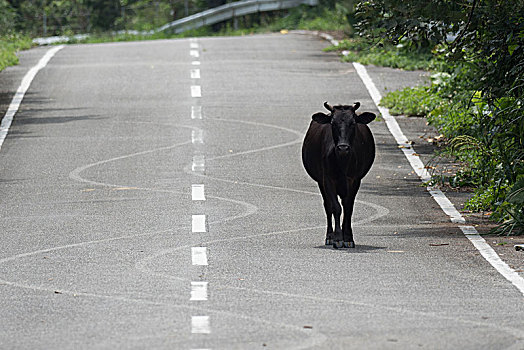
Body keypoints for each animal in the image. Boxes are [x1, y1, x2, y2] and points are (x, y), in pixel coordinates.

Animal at [300, 101, 374, 249]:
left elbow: (348, 207)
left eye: (353, 123)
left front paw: (348, 238)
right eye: (333, 123)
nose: (343, 147)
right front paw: (338, 238)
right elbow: (336, 207)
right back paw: (330, 236)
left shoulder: (355, 180)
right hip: (320, 182)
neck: (342, 162)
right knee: (327, 206)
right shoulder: (327, 179)